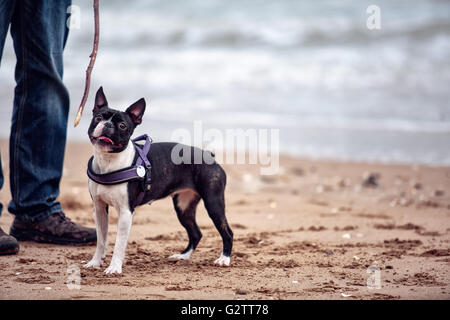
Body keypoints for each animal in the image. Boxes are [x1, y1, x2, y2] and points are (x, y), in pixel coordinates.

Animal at [82, 87, 234, 276]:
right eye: (98, 118)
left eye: (123, 125)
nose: (108, 125)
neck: (109, 161)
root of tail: (210, 156)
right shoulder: (99, 208)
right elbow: (101, 240)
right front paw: (95, 262)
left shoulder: (125, 212)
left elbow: (118, 244)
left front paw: (114, 268)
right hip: (183, 207)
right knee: (196, 233)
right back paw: (183, 256)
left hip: (213, 202)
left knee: (227, 232)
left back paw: (224, 259)